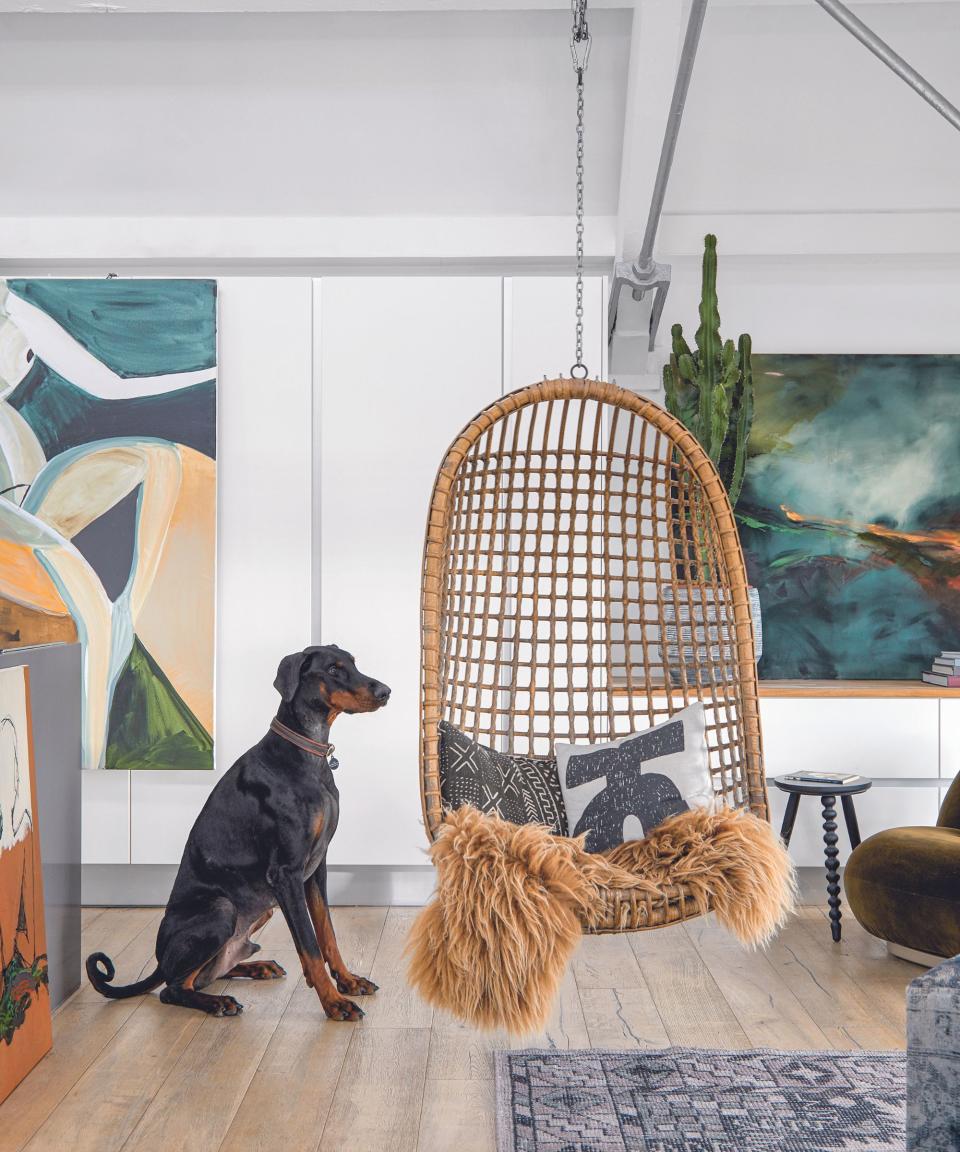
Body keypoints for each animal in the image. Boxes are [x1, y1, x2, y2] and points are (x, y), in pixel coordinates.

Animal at [86, 645, 389, 1022]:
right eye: (333, 669)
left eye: (354, 663)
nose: (386, 692)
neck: (307, 754)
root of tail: (159, 960)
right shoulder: (286, 874)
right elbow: (310, 945)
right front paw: (334, 1003)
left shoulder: (316, 868)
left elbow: (327, 934)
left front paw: (348, 982)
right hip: (222, 908)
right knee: (173, 987)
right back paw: (217, 1002)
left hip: (261, 909)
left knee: (210, 972)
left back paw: (258, 967)